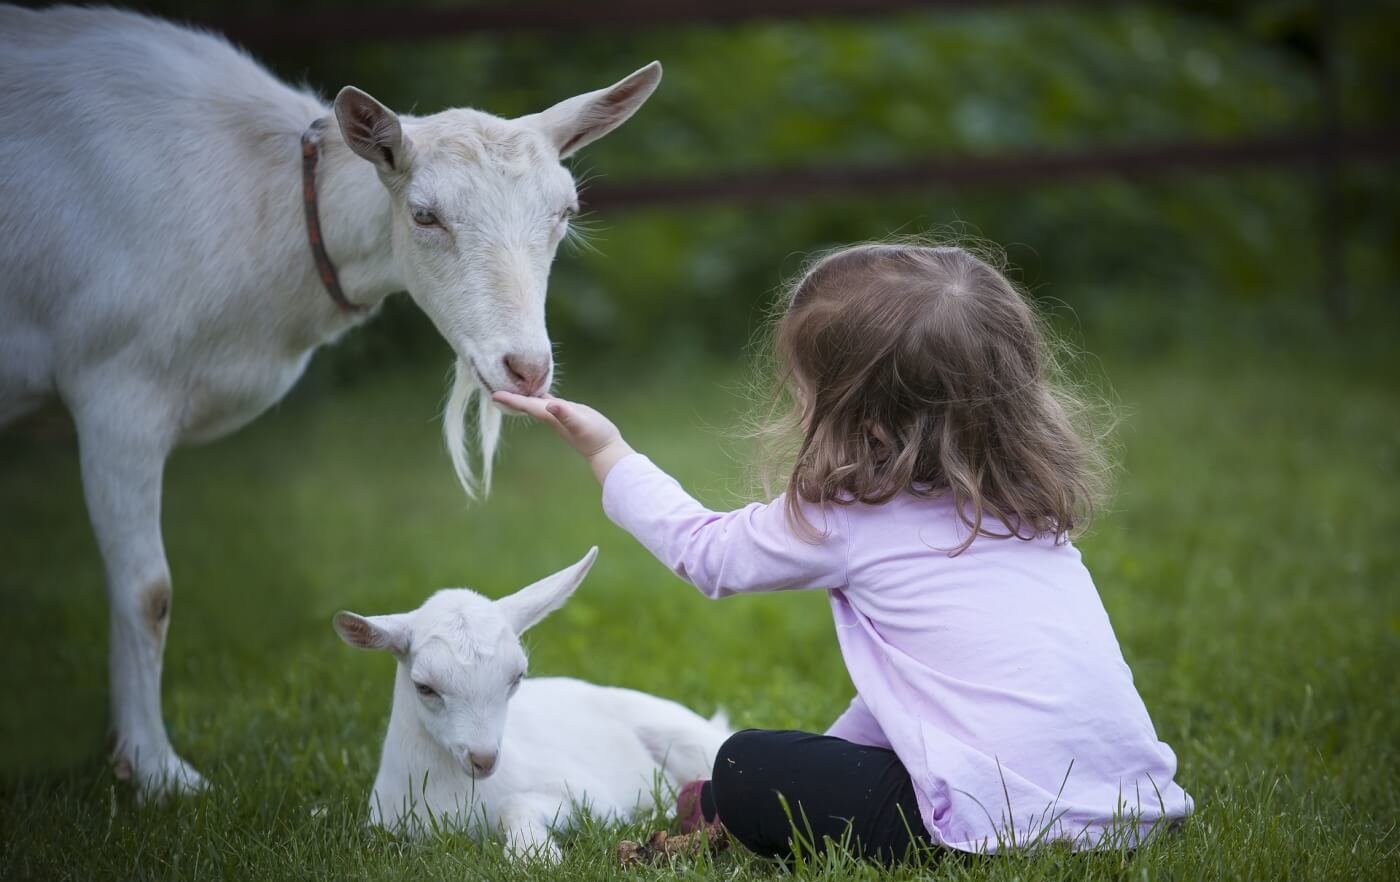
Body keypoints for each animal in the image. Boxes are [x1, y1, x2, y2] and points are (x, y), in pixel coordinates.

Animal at [0, 3, 658, 800]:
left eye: (565, 211)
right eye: (425, 215)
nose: (526, 368)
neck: (264, 207)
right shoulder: (117, 383)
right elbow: (148, 591)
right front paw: (158, 772)